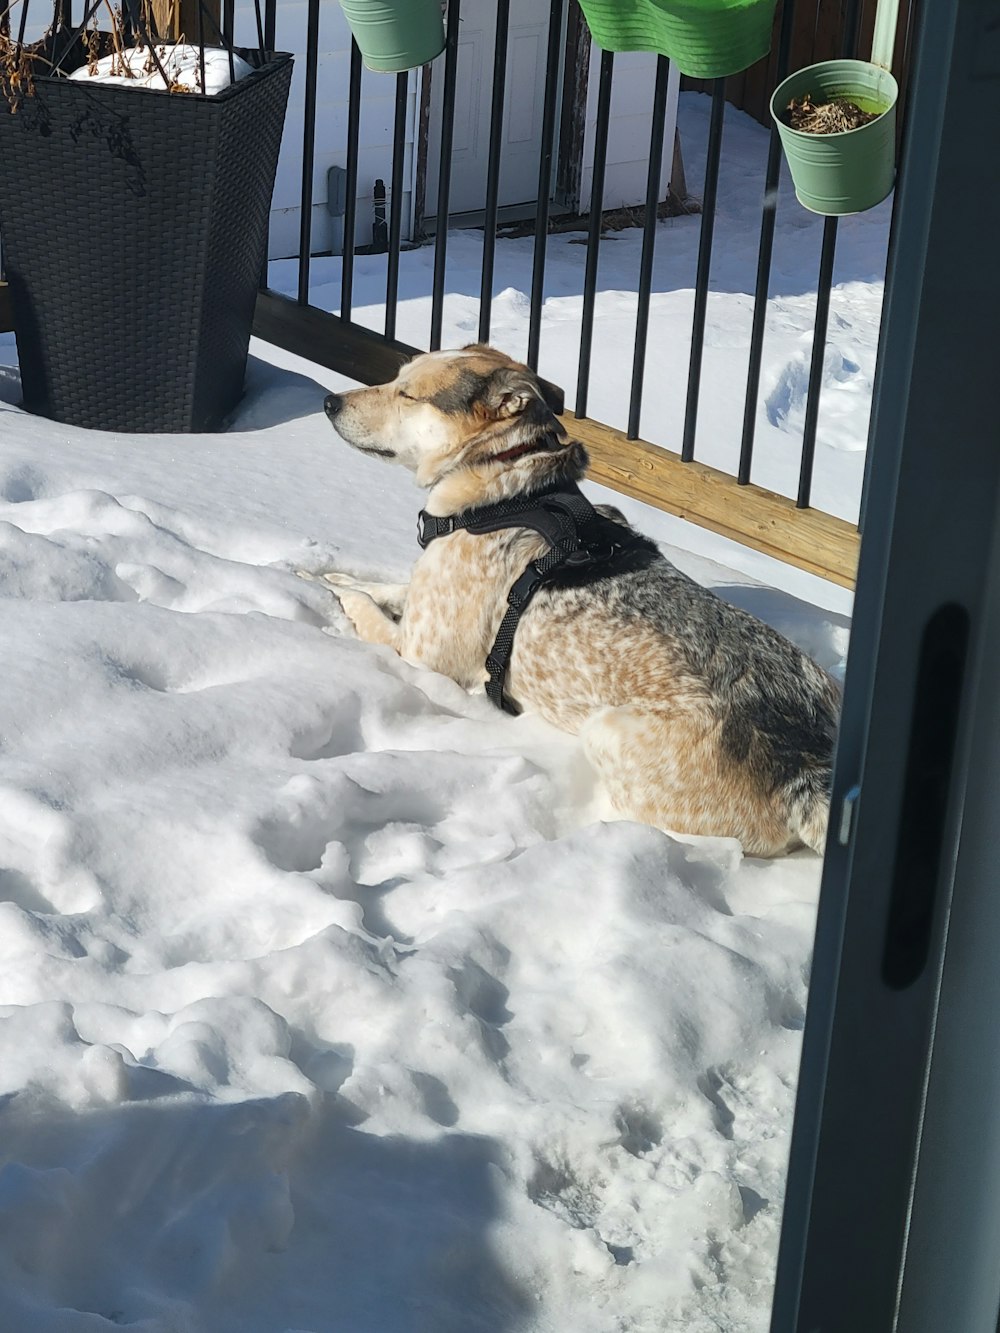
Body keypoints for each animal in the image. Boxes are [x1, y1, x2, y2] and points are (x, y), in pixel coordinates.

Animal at [325, 349, 842, 858]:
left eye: (408, 394)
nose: (330, 401)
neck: (503, 485)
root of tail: (807, 766)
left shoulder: (422, 656)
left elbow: (365, 606)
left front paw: (330, 590)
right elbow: (387, 588)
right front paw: (332, 573)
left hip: (605, 730)